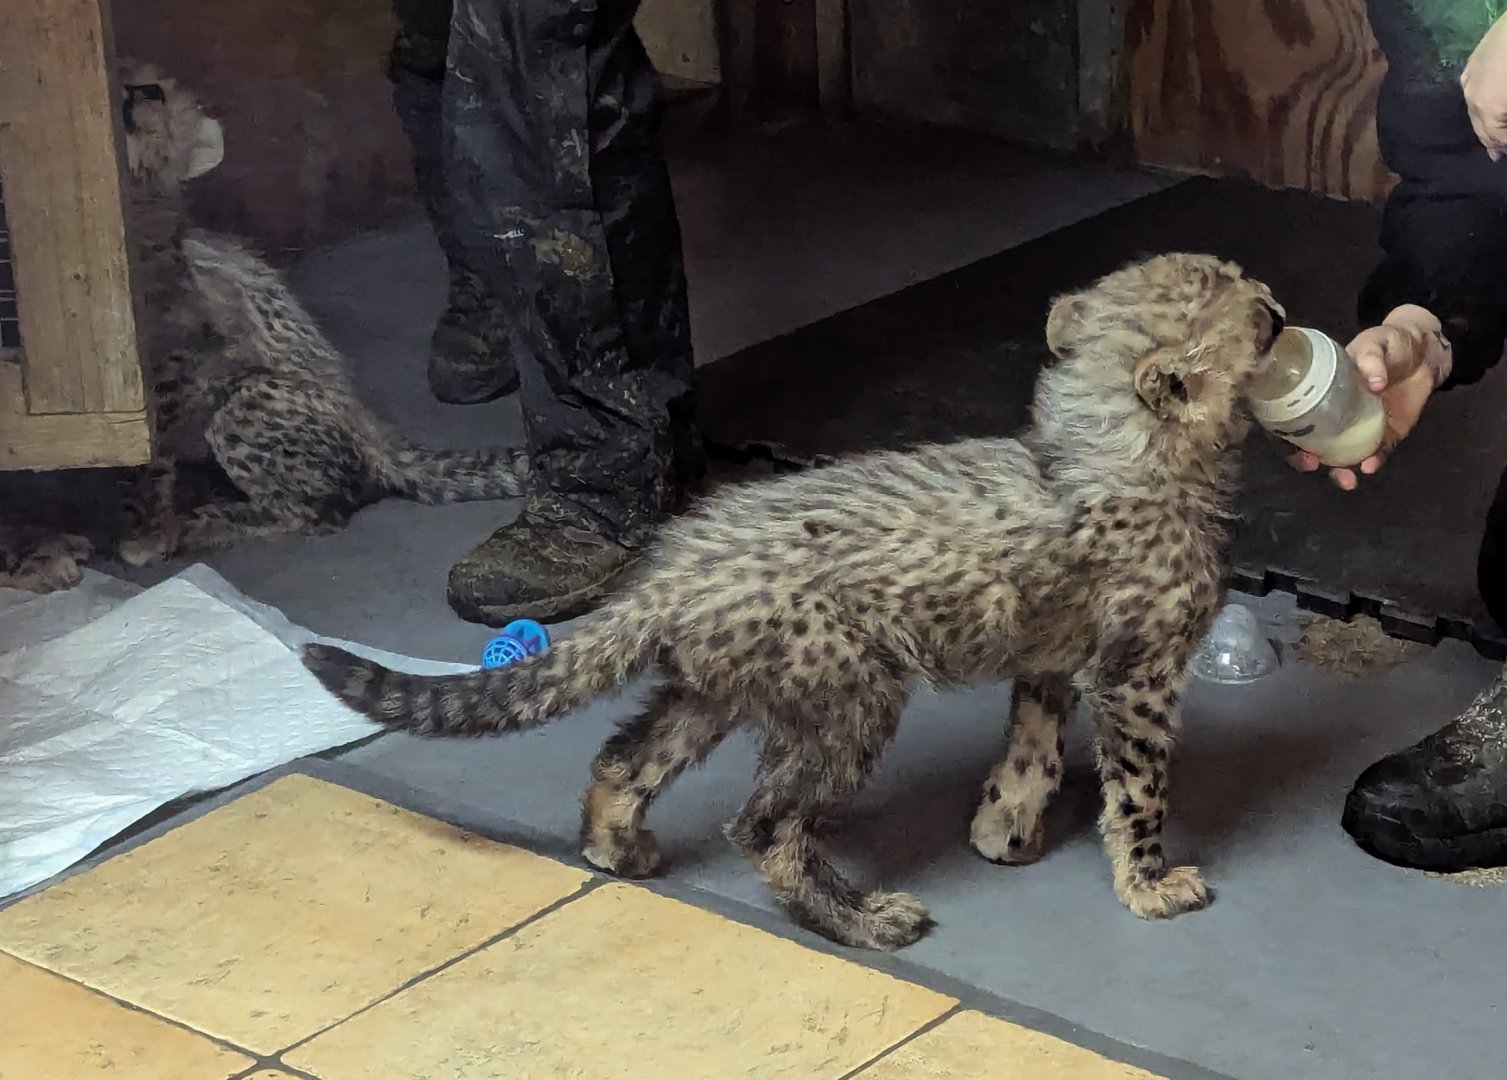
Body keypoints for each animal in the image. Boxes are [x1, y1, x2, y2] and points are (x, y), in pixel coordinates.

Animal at [110, 60, 526, 565]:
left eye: (156, 95)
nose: (139, 92)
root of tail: (375, 432)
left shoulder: (172, 378)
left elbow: (149, 464)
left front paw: (145, 535)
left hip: (244, 402)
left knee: (317, 511)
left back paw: (206, 524)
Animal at [303, 251, 1286, 951]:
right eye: (1242, 302)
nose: (1278, 306)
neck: (1111, 447)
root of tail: (678, 559)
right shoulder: (1138, 674)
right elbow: (1139, 788)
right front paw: (1148, 883)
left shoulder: (1049, 655)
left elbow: (1029, 753)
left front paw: (1003, 830)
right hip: (851, 693)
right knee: (764, 825)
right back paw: (860, 917)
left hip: (720, 685)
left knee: (625, 758)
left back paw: (617, 846)